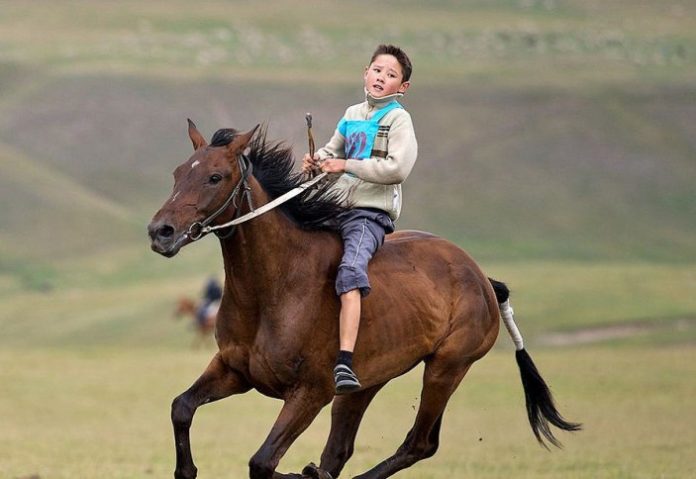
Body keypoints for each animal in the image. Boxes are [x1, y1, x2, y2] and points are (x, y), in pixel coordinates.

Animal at [150, 121, 580, 479]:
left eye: (215, 177)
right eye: (177, 173)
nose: (160, 231)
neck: (275, 288)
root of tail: (484, 280)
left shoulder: (310, 392)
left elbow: (263, 462)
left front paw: (299, 474)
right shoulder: (234, 371)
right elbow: (181, 408)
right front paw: (187, 469)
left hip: (447, 367)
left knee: (419, 444)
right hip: (366, 383)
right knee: (340, 451)